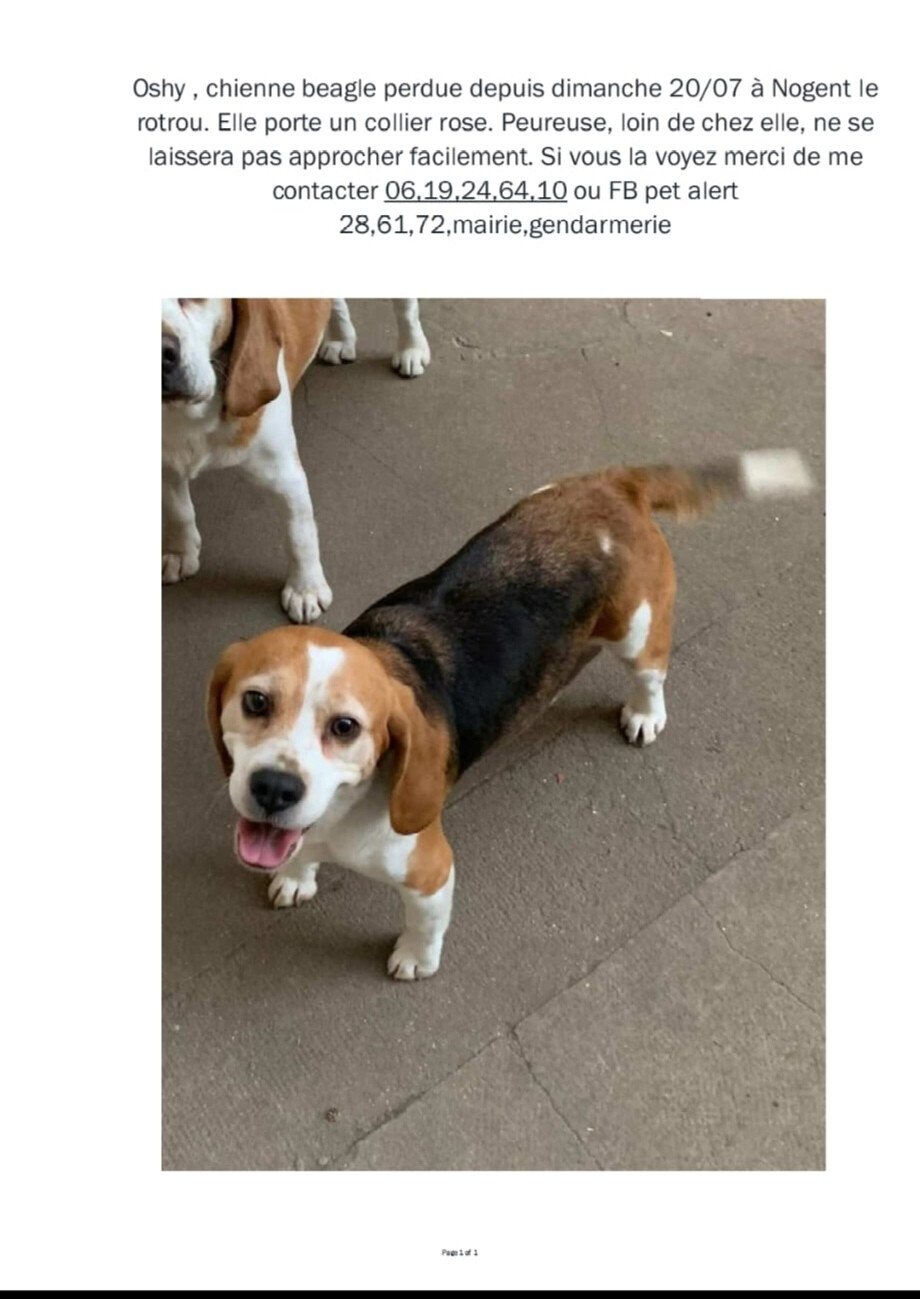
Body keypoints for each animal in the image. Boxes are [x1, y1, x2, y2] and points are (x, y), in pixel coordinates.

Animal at [162, 298, 429, 623]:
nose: (163, 353)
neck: (188, 418)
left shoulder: (285, 476)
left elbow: (299, 536)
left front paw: (306, 589)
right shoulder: (166, 465)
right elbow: (178, 511)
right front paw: (181, 552)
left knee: (406, 311)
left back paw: (411, 348)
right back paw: (341, 338)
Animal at [207, 451, 812, 980]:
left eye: (345, 728)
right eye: (255, 701)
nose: (274, 788)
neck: (336, 817)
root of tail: (613, 486)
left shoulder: (430, 870)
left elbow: (424, 924)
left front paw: (415, 960)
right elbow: (296, 856)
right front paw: (295, 877)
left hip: (636, 631)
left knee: (650, 674)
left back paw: (644, 713)